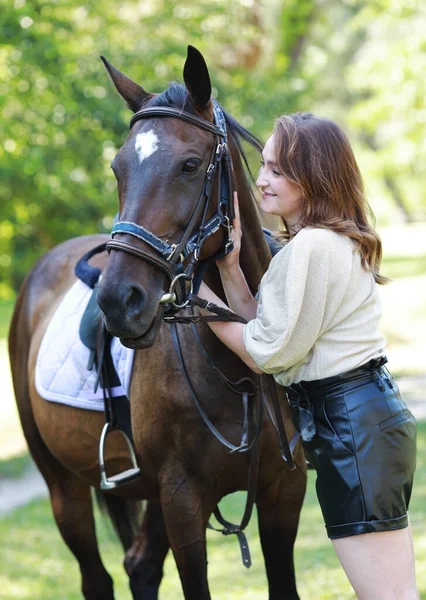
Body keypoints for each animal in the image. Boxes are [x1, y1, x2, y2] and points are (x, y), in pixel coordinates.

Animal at [7, 47, 306, 600]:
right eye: (117, 168)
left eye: (189, 165)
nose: (117, 301)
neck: (240, 370)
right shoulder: (182, 499)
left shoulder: (284, 493)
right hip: (63, 486)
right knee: (97, 577)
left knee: (141, 565)